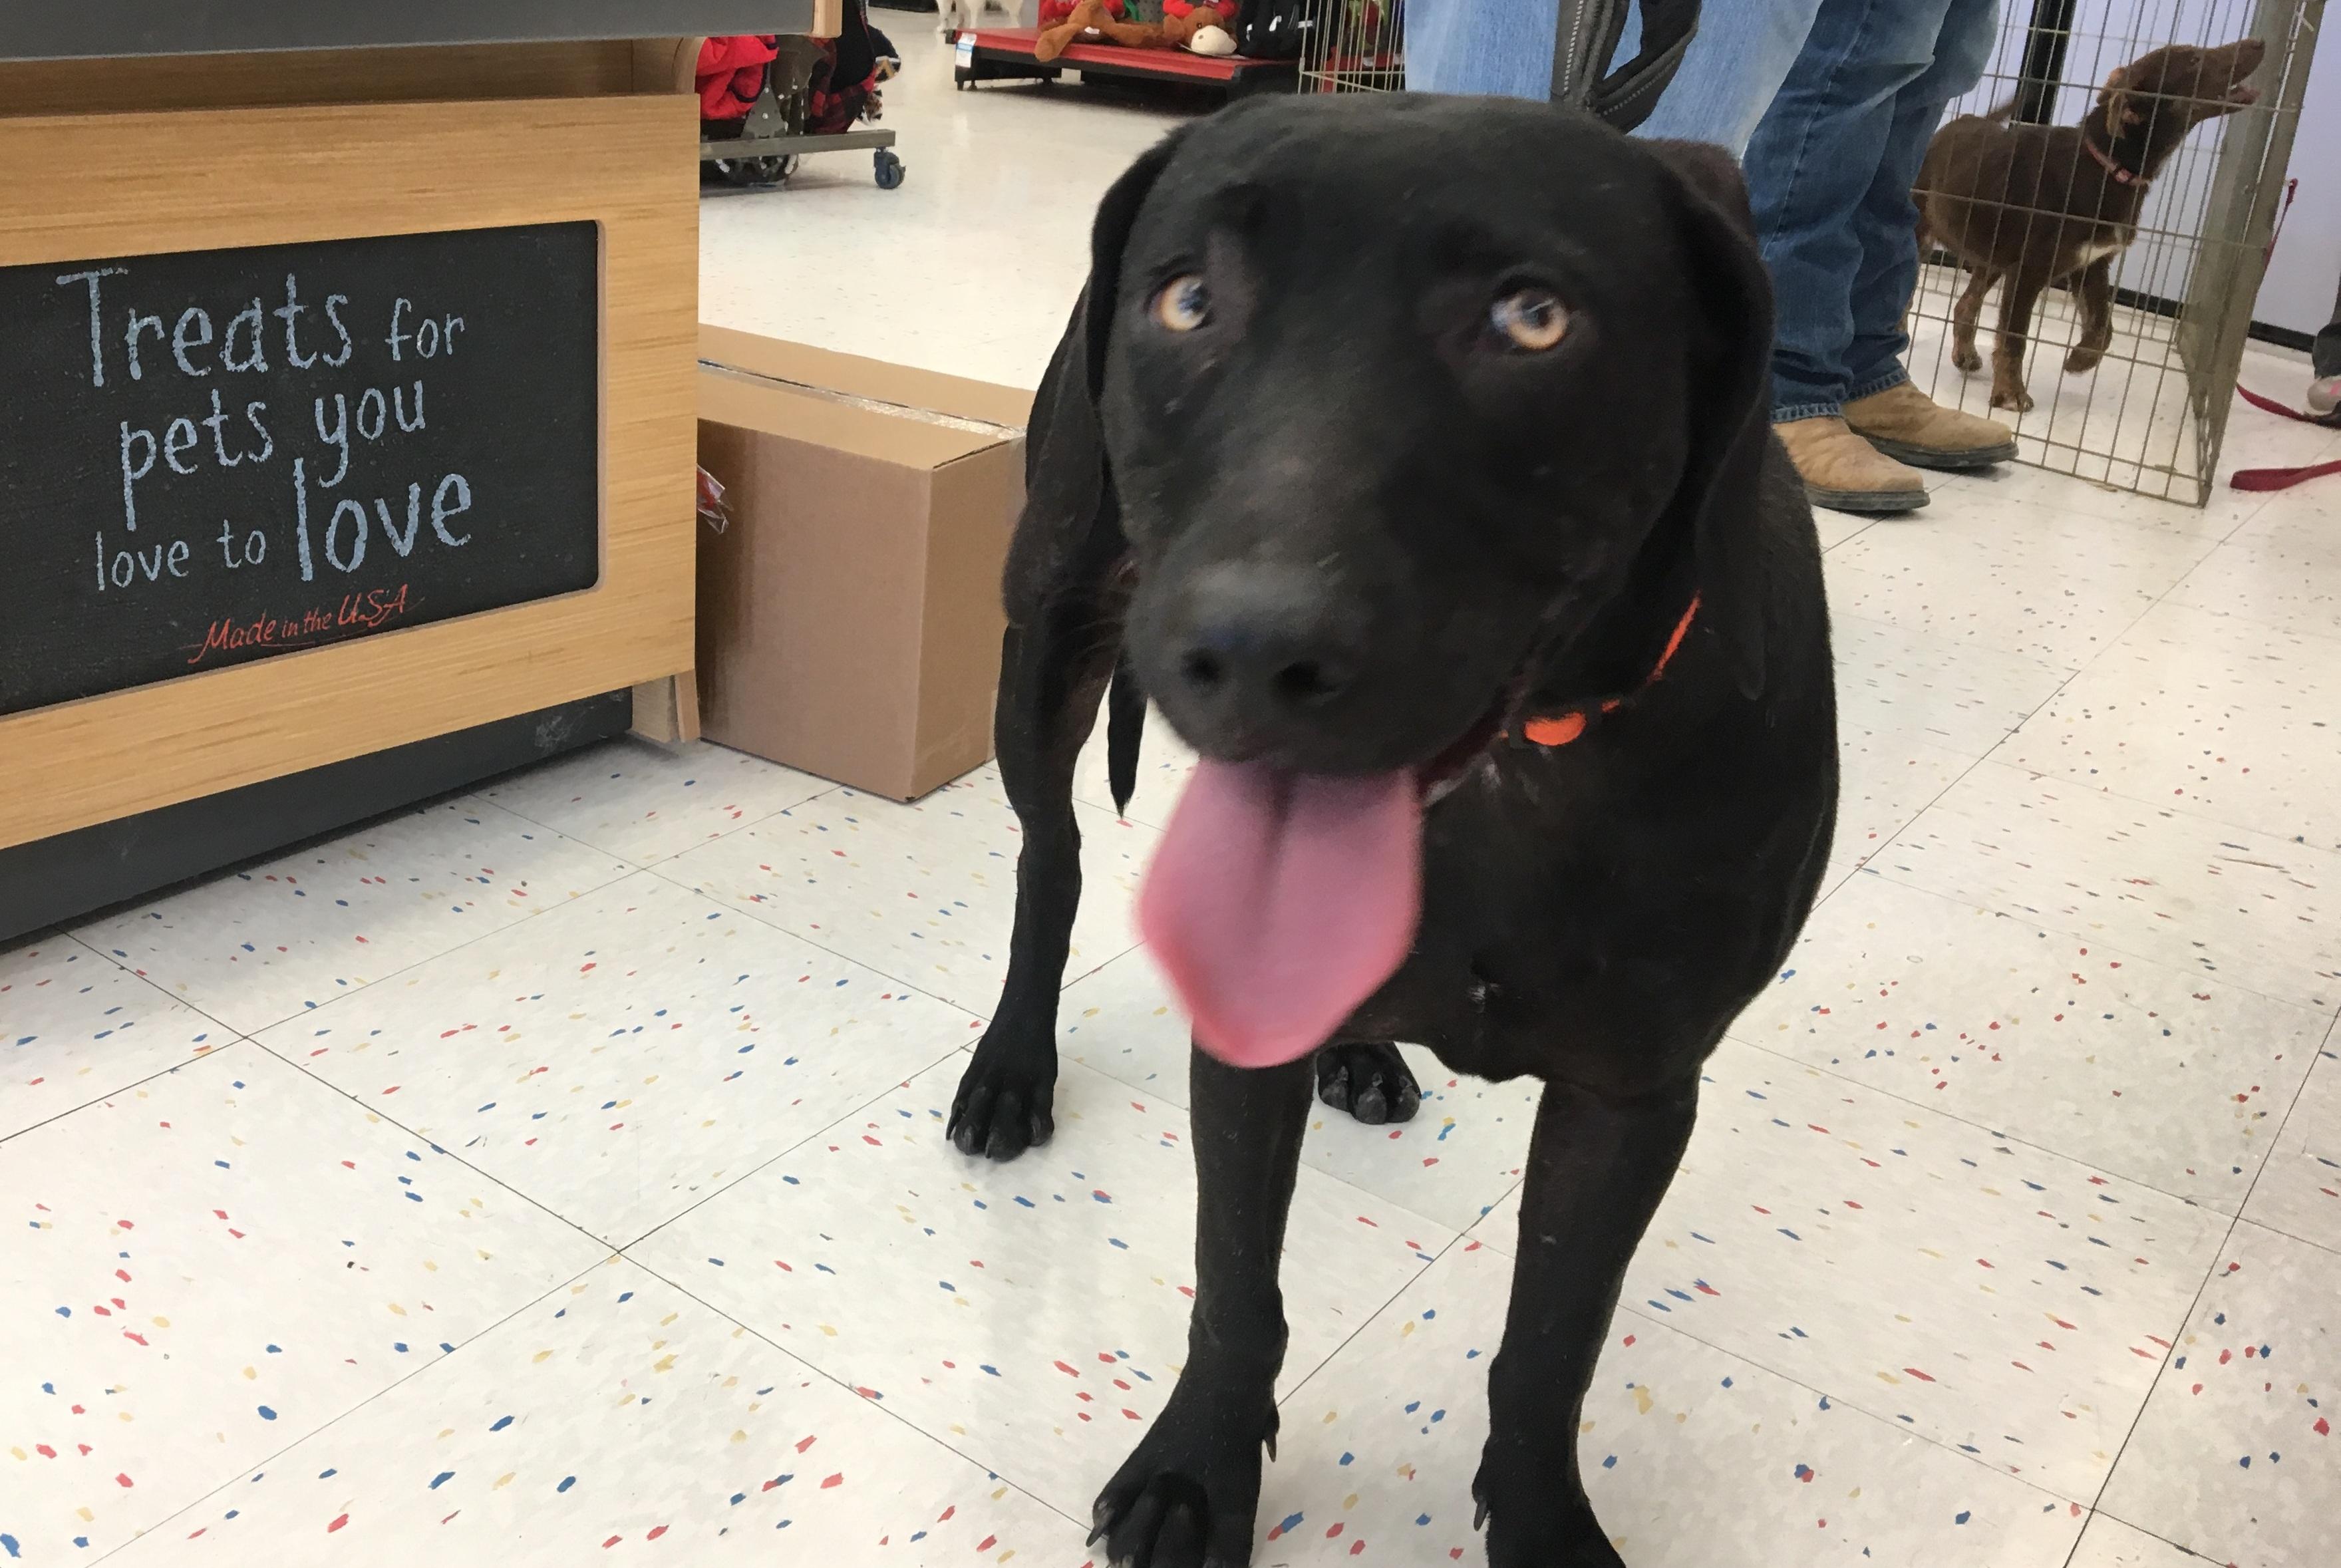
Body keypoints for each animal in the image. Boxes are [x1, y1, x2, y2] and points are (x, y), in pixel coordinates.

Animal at [941, 95, 1835, 1568]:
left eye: (1532, 320)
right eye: (1188, 298)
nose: (1249, 649)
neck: (1516, 782)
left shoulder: (1632, 1093)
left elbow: (1548, 1345)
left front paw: (1537, 1520)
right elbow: (1235, 1283)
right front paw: (1195, 1470)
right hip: (1044, 634)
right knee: (1047, 860)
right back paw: (1015, 1061)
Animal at [1910, 39, 2257, 414]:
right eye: (2194, 60)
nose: (2259, 44)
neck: (2107, 168)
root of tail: (1957, 122)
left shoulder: (2092, 264)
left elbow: (2103, 328)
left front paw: (2079, 360)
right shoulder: (2028, 272)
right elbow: (2015, 338)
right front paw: (2012, 393)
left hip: (1992, 257)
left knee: (1965, 305)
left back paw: (1965, 355)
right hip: (1921, 232)